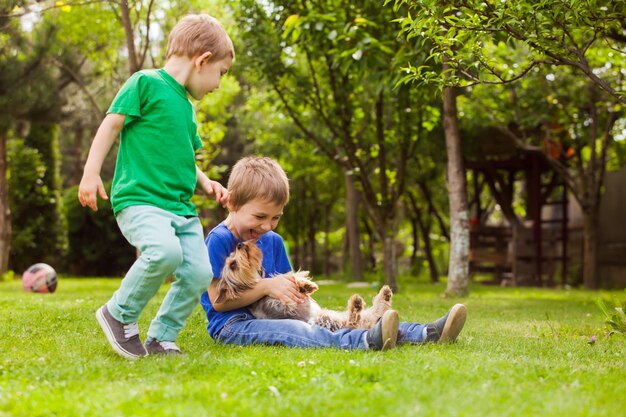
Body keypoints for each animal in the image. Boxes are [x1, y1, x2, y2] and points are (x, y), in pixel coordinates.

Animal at [214, 239, 390, 330]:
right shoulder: (280, 303)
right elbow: (283, 288)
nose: (239, 244)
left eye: (232, 257)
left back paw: (384, 296)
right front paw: (303, 285)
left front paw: (304, 281)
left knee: (371, 315)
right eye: (233, 265)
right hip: (325, 319)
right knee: (353, 320)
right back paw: (358, 304)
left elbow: (287, 275)